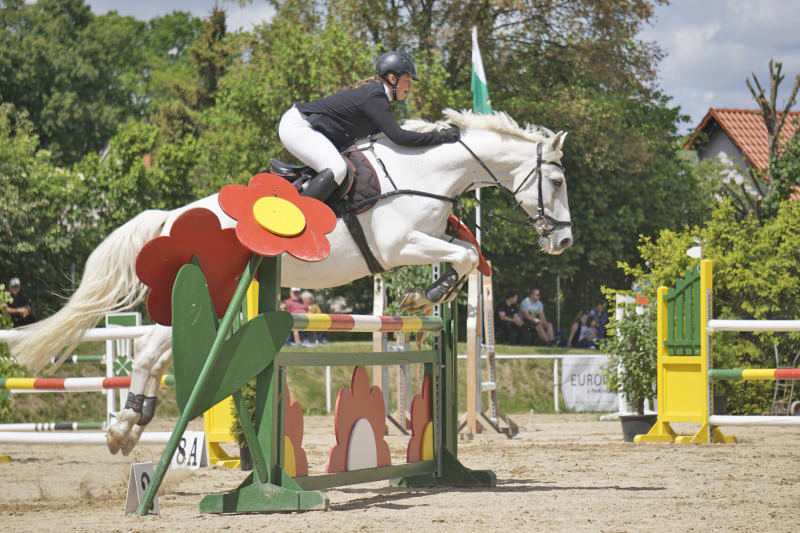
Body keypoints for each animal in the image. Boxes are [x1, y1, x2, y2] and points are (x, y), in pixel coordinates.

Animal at [6, 109, 568, 454]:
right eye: (558, 181)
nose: (562, 241)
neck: (425, 175)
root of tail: (170, 216)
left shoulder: (430, 239)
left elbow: (468, 255)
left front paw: (425, 294)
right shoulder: (401, 244)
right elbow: (465, 258)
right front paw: (423, 294)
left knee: (154, 351)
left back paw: (131, 424)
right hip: (211, 292)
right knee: (148, 351)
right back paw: (125, 428)